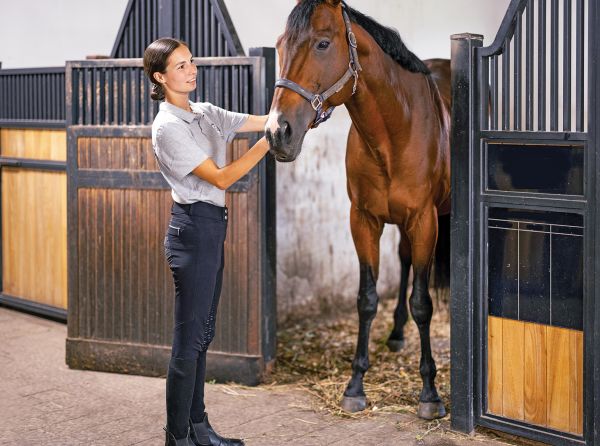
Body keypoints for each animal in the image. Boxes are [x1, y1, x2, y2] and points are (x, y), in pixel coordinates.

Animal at [266, 0, 450, 420]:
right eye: (280, 45)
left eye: (322, 44)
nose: (277, 132)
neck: (395, 131)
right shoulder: (363, 221)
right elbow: (366, 299)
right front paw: (355, 385)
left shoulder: (424, 221)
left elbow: (423, 302)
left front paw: (430, 394)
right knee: (403, 260)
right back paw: (396, 335)